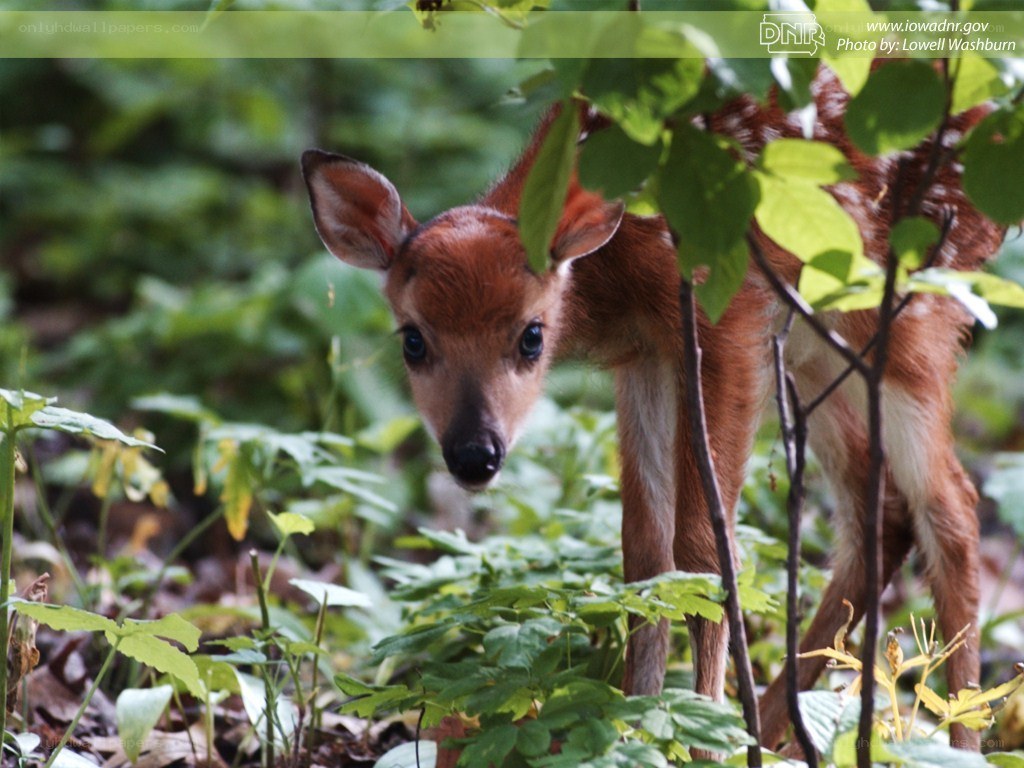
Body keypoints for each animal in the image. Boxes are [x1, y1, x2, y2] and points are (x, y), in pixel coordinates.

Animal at [301, 66, 1004, 753]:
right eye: (413, 340)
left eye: (532, 335)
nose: (475, 454)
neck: (619, 270)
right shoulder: (645, 355)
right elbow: (645, 551)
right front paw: (639, 719)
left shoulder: (726, 319)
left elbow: (705, 546)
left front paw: (706, 735)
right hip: (815, 344)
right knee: (879, 507)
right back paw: (778, 730)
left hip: (911, 309)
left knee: (952, 507)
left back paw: (956, 739)